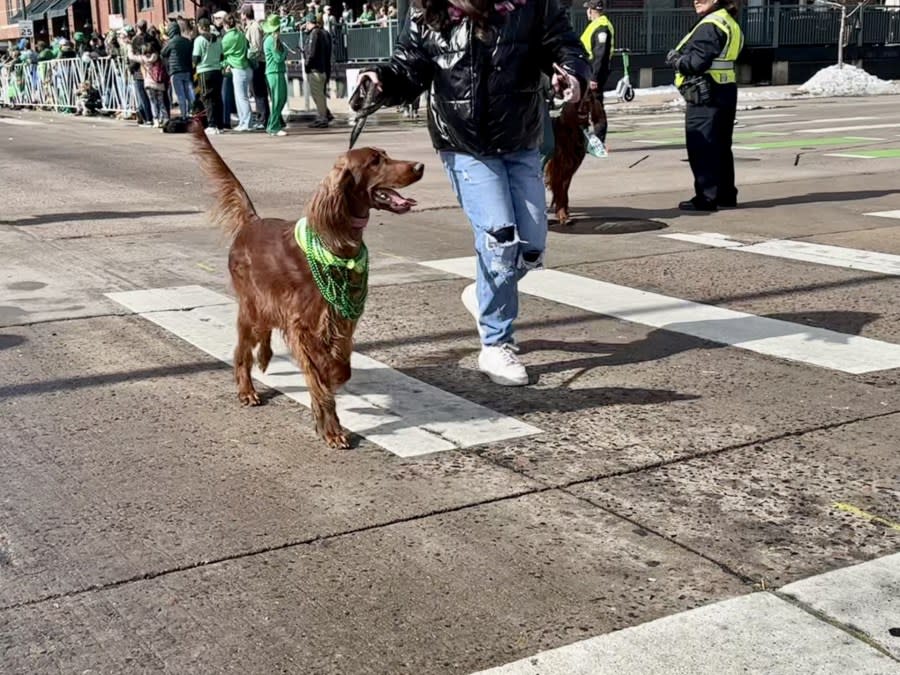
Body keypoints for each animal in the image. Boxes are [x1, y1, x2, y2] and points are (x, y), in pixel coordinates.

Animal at [192, 124, 424, 448]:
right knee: (242, 351)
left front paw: (333, 382)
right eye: (375, 161)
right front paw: (331, 429)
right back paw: (247, 390)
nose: (420, 166)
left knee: (264, 334)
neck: (336, 242)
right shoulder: (306, 324)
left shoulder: (341, 320)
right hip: (251, 305)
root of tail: (251, 222)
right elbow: (319, 377)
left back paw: (265, 358)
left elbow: (341, 368)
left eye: (386, 155)